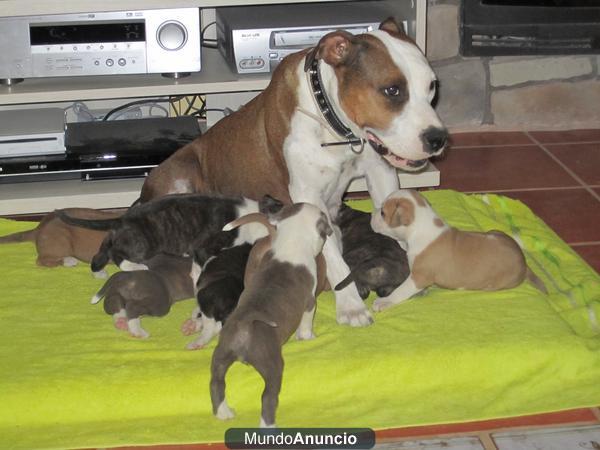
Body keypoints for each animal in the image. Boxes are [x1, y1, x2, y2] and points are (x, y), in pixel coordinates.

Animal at [55, 192, 276, 272]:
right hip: (143, 246)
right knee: (117, 254)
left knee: (103, 249)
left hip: (119, 237)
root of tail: (123, 218)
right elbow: (201, 266)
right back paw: (134, 267)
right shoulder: (204, 247)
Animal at [136, 18, 446, 326]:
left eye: (432, 86)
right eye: (392, 90)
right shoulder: (309, 196)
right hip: (181, 172)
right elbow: (336, 259)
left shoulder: (380, 173)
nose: (438, 138)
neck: (334, 124)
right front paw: (351, 307)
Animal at [368, 188, 548, 312]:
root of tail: (524, 264)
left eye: (383, 213)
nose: (371, 215)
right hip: (495, 231)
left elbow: (401, 290)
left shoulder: (419, 277)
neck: (421, 226)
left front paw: (385, 301)